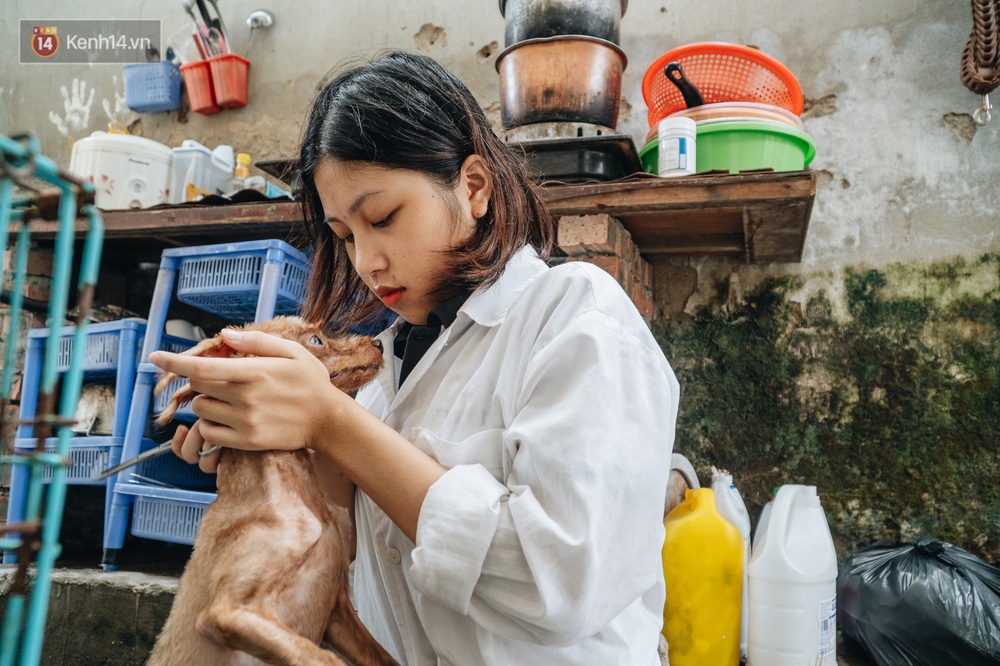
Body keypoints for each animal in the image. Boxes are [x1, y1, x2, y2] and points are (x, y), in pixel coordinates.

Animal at [148, 316, 398, 664]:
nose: (377, 344)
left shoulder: (338, 612)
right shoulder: (229, 612)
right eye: (316, 340)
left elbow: (384, 658)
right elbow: (325, 659)